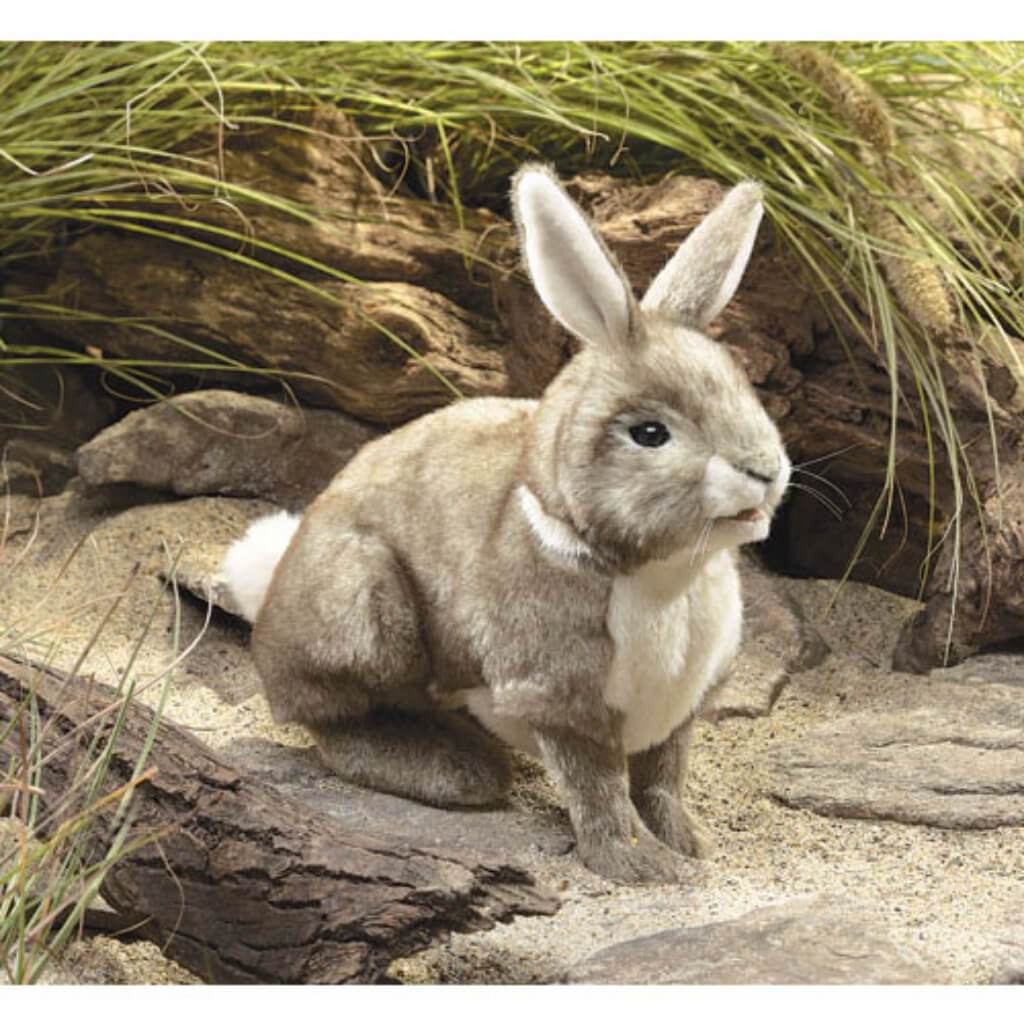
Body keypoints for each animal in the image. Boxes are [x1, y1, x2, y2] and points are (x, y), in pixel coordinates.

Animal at [223, 164, 791, 884]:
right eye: (649, 433)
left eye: (746, 390)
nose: (765, 470)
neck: (667, 576)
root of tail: (268, 594)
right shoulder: (560, 698)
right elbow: (600, 790)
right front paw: (641, 868)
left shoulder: (679, 710)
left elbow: (663, 780)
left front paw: (690, 845)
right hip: (366, 608)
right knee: (336, 724)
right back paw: (457, 771)